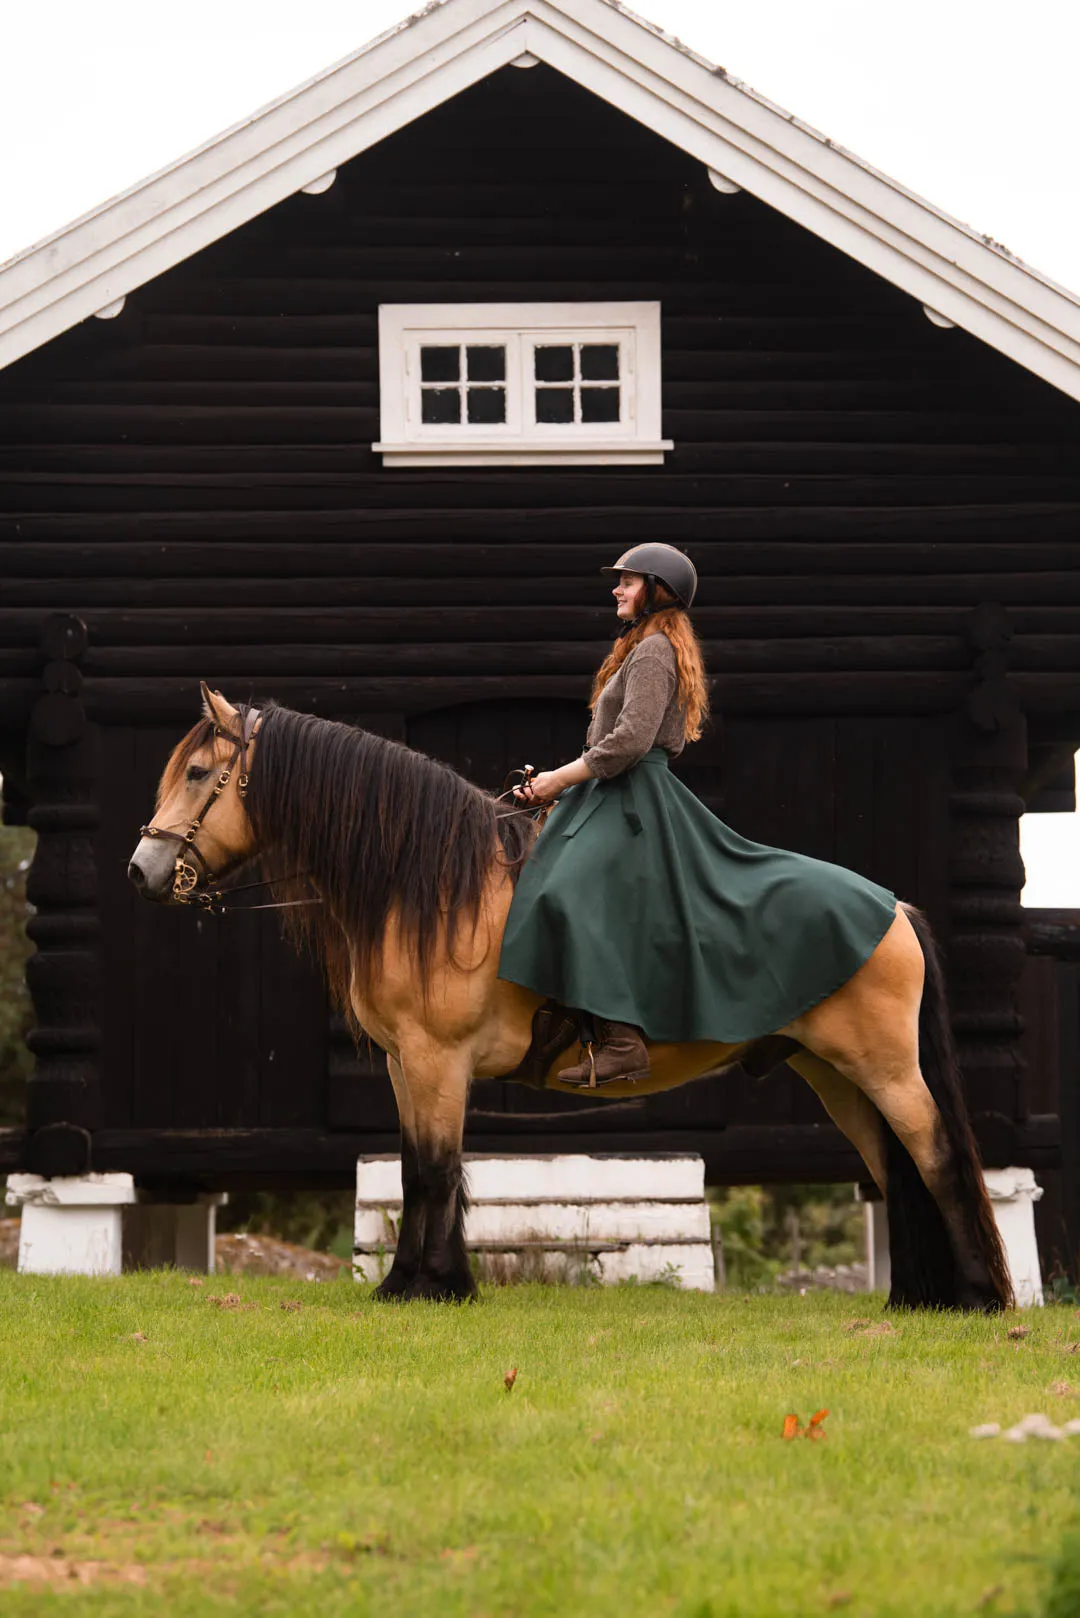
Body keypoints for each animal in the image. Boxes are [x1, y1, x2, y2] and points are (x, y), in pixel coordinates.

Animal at [127, 689, 1016, 1307]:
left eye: (199, 775)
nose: (142, 871)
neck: (430, 886)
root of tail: (892, 909)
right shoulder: (405, 1066)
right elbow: (419, 1169)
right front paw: (411, 1282)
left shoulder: (437, 1061)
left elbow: (437, 1170)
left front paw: (435, 1287)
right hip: (838, 1077)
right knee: (893, 1165)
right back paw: (915, 1299)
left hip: (885, 1070)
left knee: (935, 1156)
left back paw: (977, 1298)